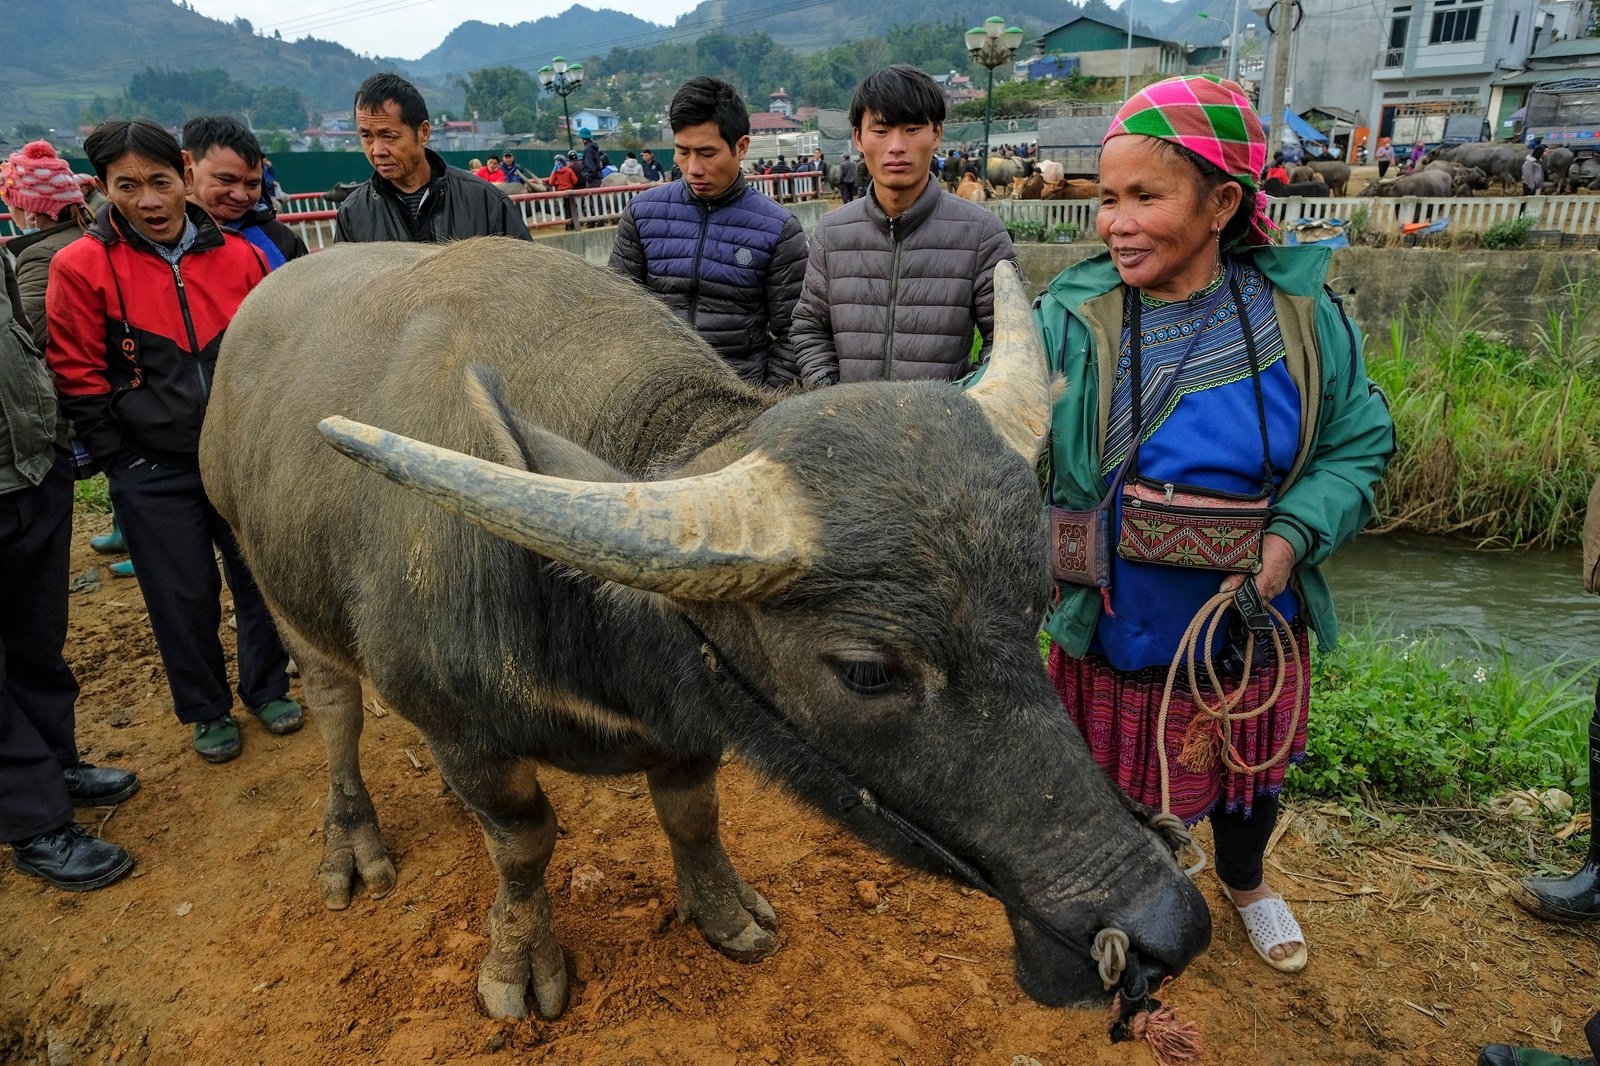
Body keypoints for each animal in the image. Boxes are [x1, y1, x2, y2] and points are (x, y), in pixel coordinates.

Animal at [196, 240, 1209, 1024]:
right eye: (866, 671)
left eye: (1036, 604)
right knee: (336, 709)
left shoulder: (695, 719)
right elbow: (523, 846)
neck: (583, 610)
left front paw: (726, 915)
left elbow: (691, 813)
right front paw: (518, 963)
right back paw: (349, 844)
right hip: (271, 582)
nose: (1166, 927)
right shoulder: (465, 731)